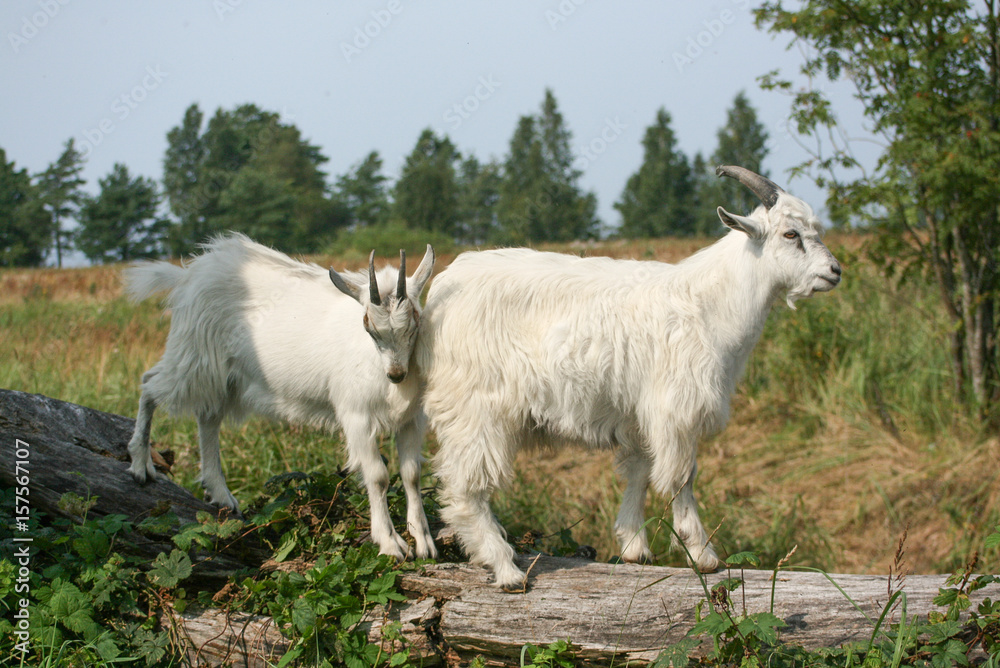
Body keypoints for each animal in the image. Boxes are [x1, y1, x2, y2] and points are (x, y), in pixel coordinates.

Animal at [124, 233, 437, 560]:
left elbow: (412, 473)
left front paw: (424, 542)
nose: (396, 374)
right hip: (194, 357)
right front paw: (390, 544)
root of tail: (187, 275)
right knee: (150, 385)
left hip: (221, 376)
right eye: (368, 327)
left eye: (415, 320)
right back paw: (140, 465)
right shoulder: (357, 417)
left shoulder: (411, 420)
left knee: (208, 417)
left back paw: (220, 494)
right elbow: (377, 476)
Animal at [416, 166, 842, 589]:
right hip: (476, 406)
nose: (834, 272)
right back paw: (505, 567)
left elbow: (639, 471)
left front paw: (635, 546)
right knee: (466, 487)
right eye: (791, 234)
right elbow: (681, 478)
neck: (708, 303)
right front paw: (703, 554)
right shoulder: (676, 409)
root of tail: (439, 293)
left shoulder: (637, 414)